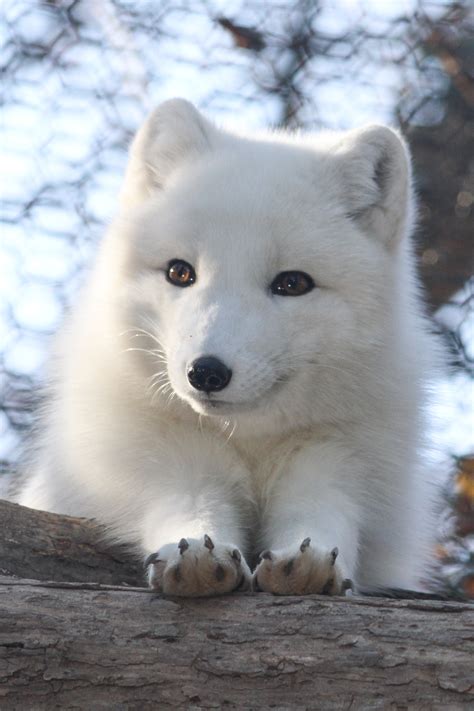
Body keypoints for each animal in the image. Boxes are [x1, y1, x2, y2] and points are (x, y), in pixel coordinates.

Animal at [19, 100, 440, 596]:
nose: (206, 372)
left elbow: (323, 512)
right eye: (180, 272)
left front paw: (311, 562)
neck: (248, 441)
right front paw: (196, 554)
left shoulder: (340, 461)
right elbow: (191, 505)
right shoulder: (165, 460)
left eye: (292, 283)